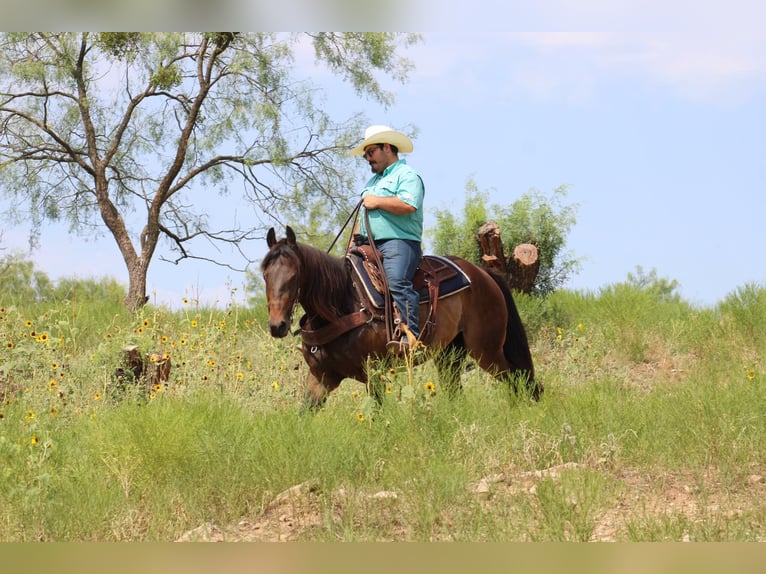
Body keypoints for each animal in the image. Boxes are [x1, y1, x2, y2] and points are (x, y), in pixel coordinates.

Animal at [264, 227, 540, 412]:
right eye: (265, 274)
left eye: (294, 276)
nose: (278, 326)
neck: (341, 305)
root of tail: (484, 275)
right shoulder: (321, 377)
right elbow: (304, 415)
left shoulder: (372, 373)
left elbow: (376, 414)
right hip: (449, 355)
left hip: (486, 350)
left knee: (520, 380)